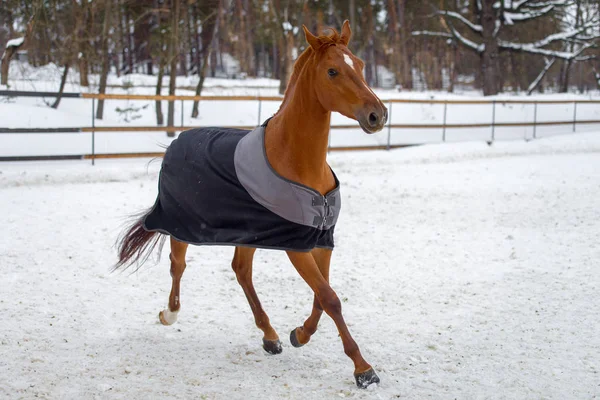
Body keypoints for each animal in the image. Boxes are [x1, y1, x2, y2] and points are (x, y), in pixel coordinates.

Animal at [116, 20, 390, 390]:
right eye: (332, 71)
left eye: (359, 65)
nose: (377, 115)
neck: (297, 160)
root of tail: (176, 142)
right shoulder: (295, 245)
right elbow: (330, 298)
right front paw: (363, 369)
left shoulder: (322, 241)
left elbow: (322, 297)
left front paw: (299, 334)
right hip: (182, 224)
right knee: (178, 264)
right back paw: (169, 314)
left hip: (247, 233)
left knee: (241, 271)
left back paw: (270, 336)